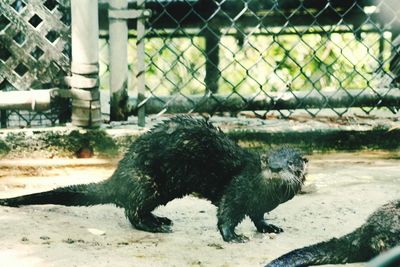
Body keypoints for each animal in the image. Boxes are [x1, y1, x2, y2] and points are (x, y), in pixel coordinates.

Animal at [0, 115, 310, 243]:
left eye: (291, 164)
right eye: (267, 160)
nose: (276, 168)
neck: (265, 194)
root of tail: (120, 174)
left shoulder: (259, 204)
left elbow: (258, 216)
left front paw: (270, 227)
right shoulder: (236, 189)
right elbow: (227, 213)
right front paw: (233, 236)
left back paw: (161, 219)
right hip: (148, 183)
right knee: (131, 211)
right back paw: (156, 226)